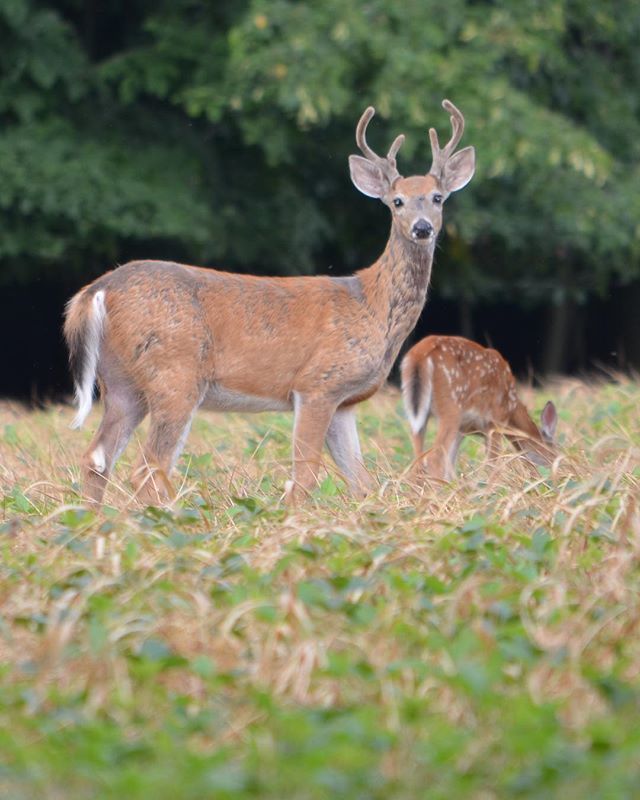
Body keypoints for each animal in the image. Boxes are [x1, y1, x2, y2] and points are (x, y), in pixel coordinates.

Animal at [64, 100, 475, 506]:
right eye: (397, 201)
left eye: (437, 198)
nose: (422, 227)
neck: (371, 304)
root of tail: (97, 290)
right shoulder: (317, 382)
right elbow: (304, 478)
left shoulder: (345, 401)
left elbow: (362, 484)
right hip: (174, 374)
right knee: (146, 469)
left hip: (122, 383)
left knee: (96, 458)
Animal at [401, 335, 558, 480]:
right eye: (555, 453)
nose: (557, 472)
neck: (512, 410)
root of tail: (420, 352)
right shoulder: (495, 421)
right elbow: (492, 464)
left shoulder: (463, 430)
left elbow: (451, 464)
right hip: (451, 406)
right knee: (434, 459)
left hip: (417, 412)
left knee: (418, 461)